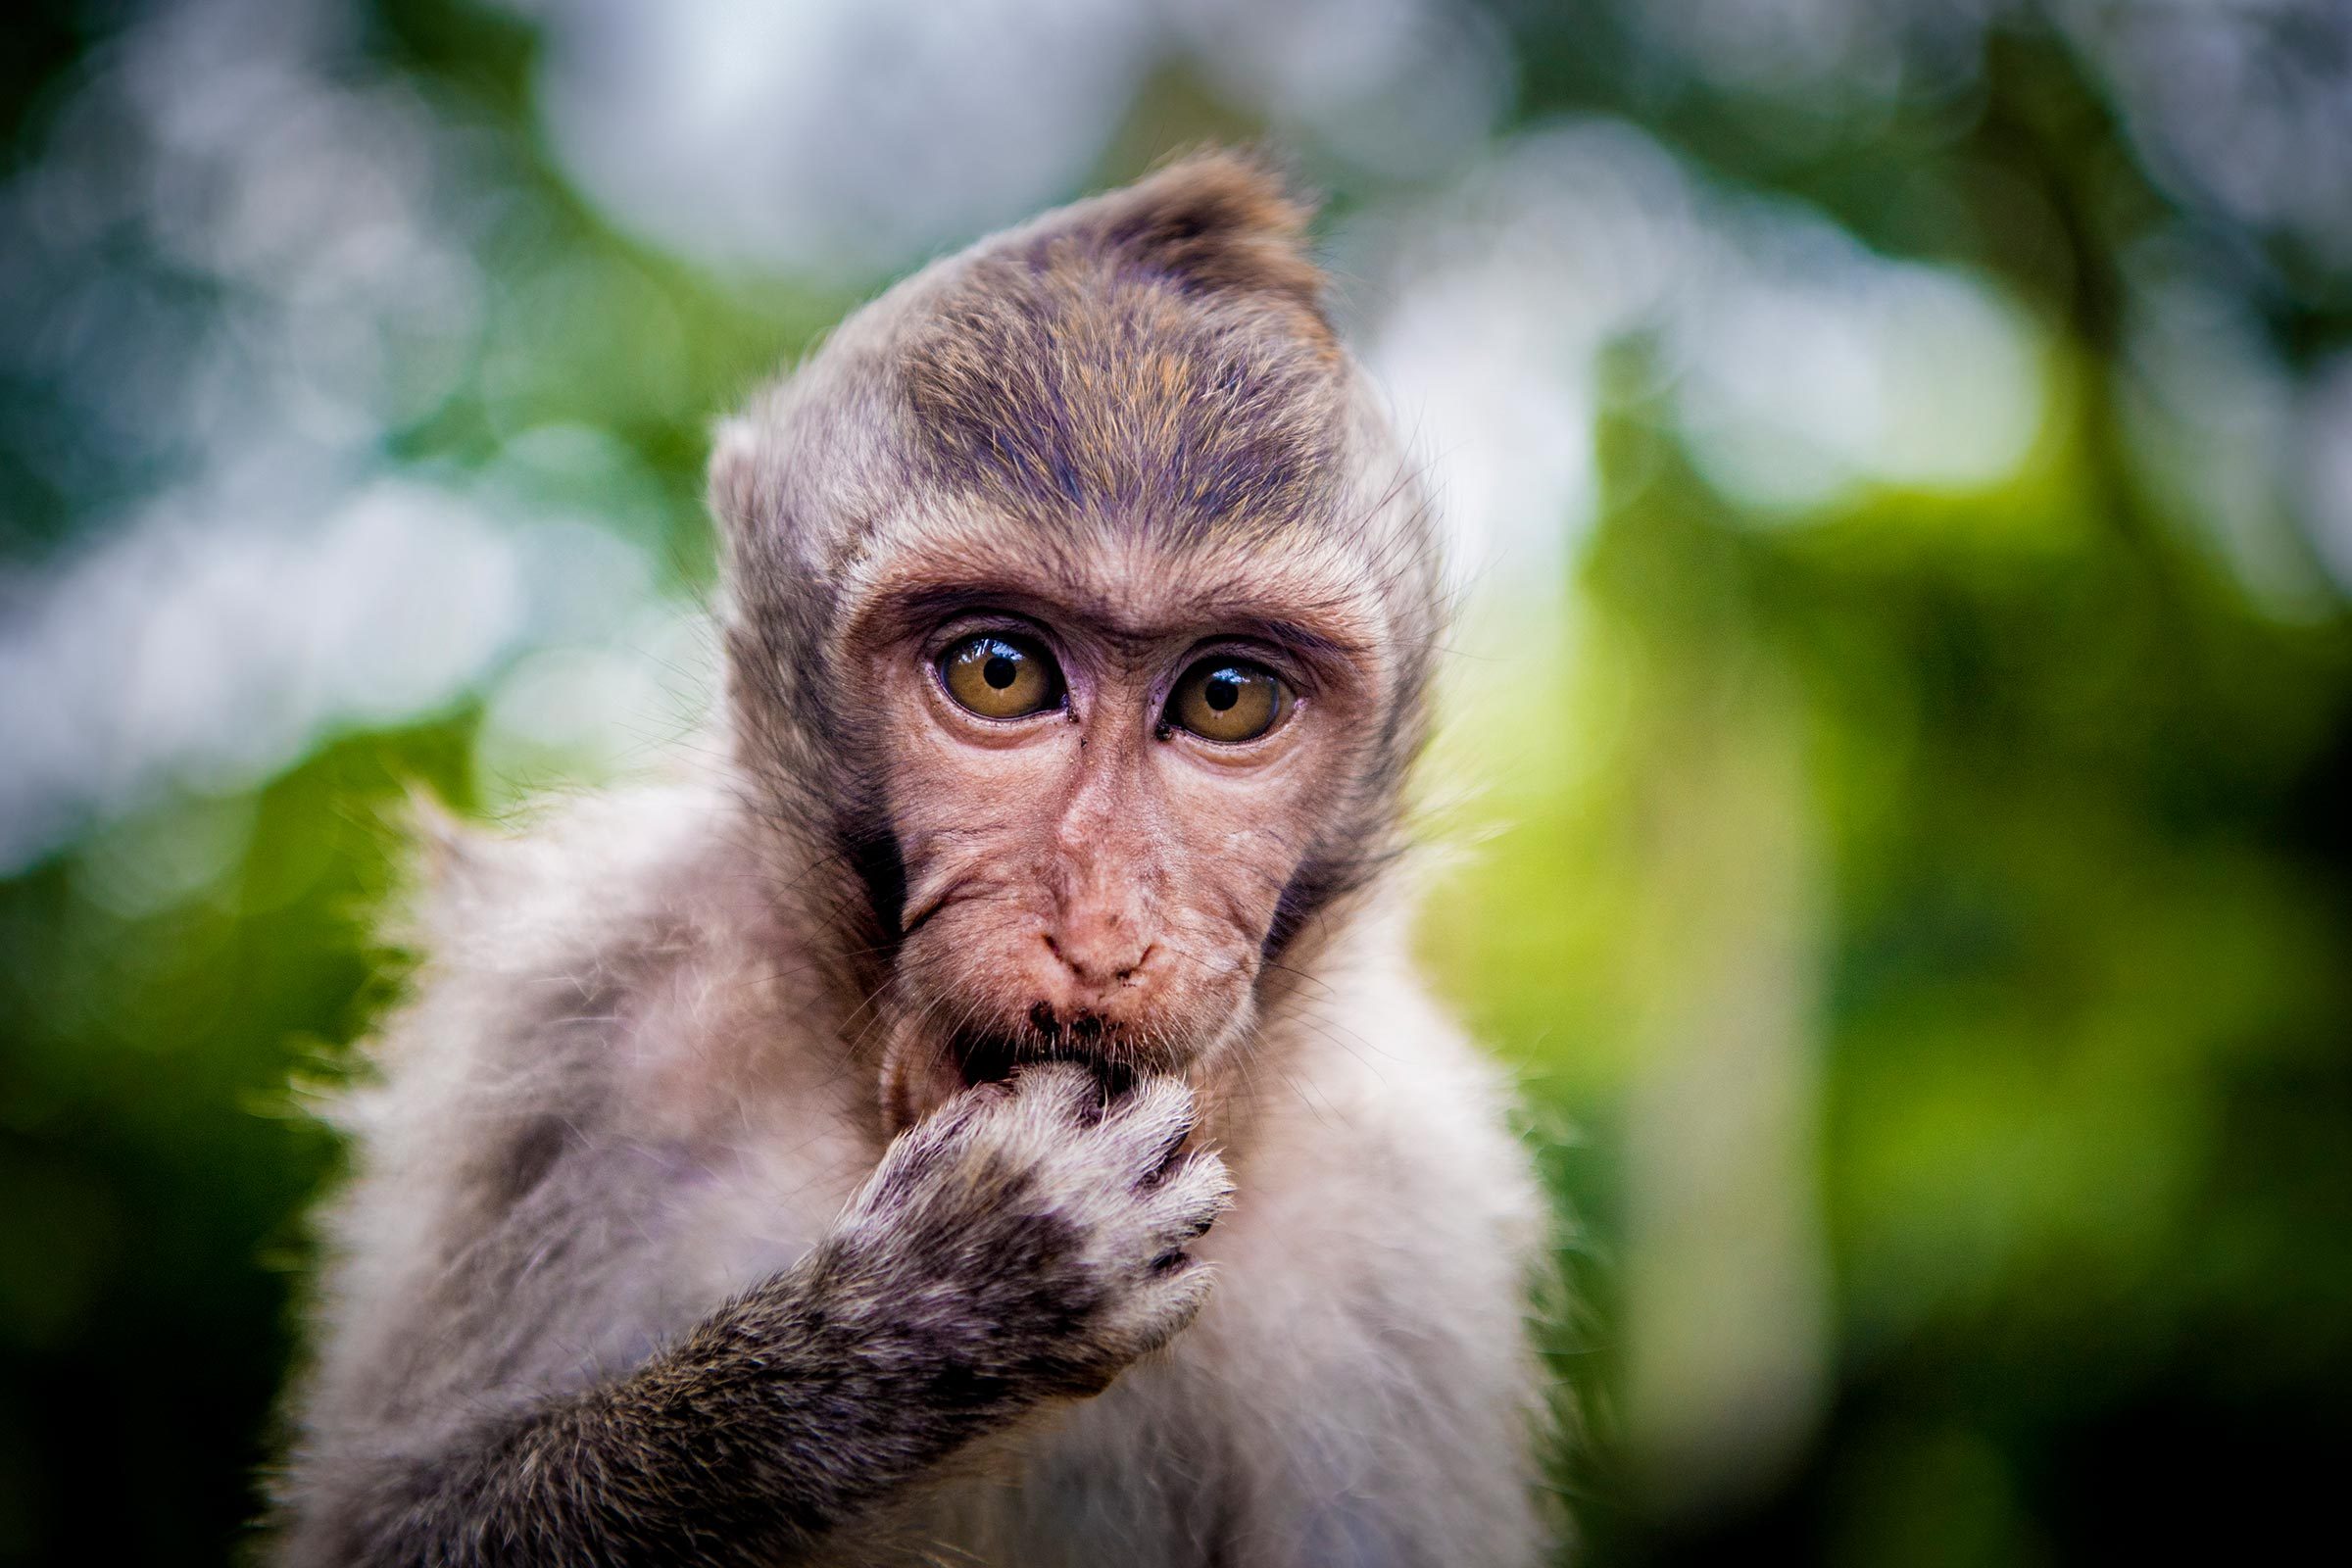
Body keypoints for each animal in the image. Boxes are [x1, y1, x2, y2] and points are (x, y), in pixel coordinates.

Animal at [268, 151, 1558, 1567]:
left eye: (1228, 697)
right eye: (1000, 673)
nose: (1101, 934)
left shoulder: (1405, 1218)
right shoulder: (565, 1020)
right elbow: (391, 1522)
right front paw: (930, 1318)